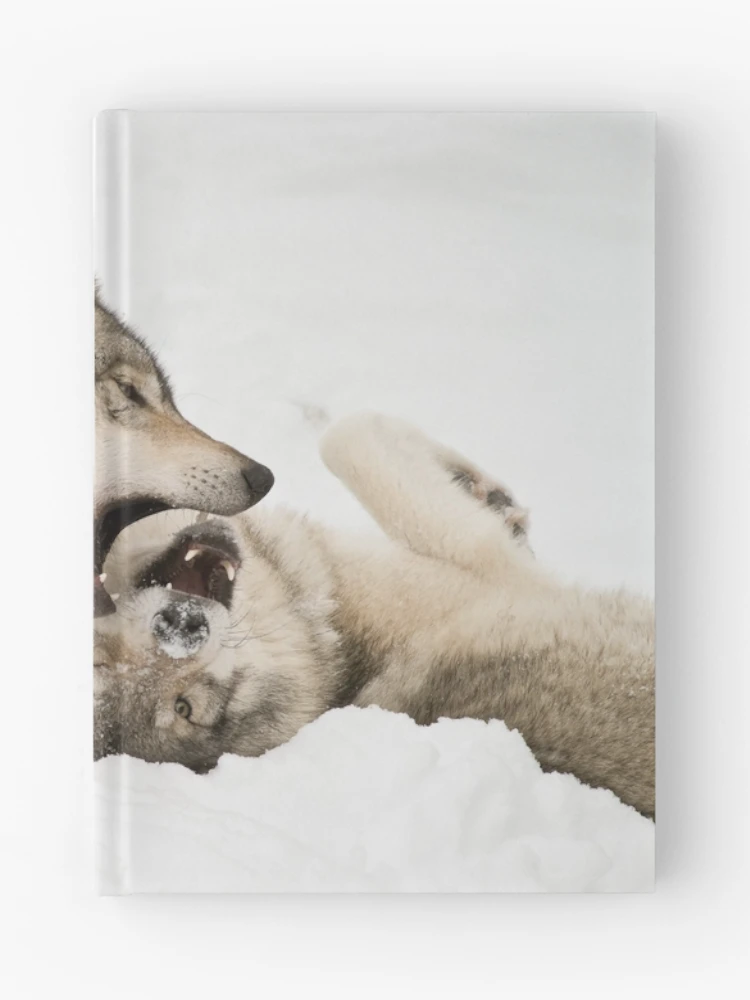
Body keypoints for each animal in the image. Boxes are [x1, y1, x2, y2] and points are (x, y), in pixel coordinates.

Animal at [94, 413, 655, 816]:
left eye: (96, 659)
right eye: (186, 709)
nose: (181, 626)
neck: (332, 636)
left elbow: (339, 438)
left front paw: (492, 497)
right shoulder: (491, 564)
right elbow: (351, 435)